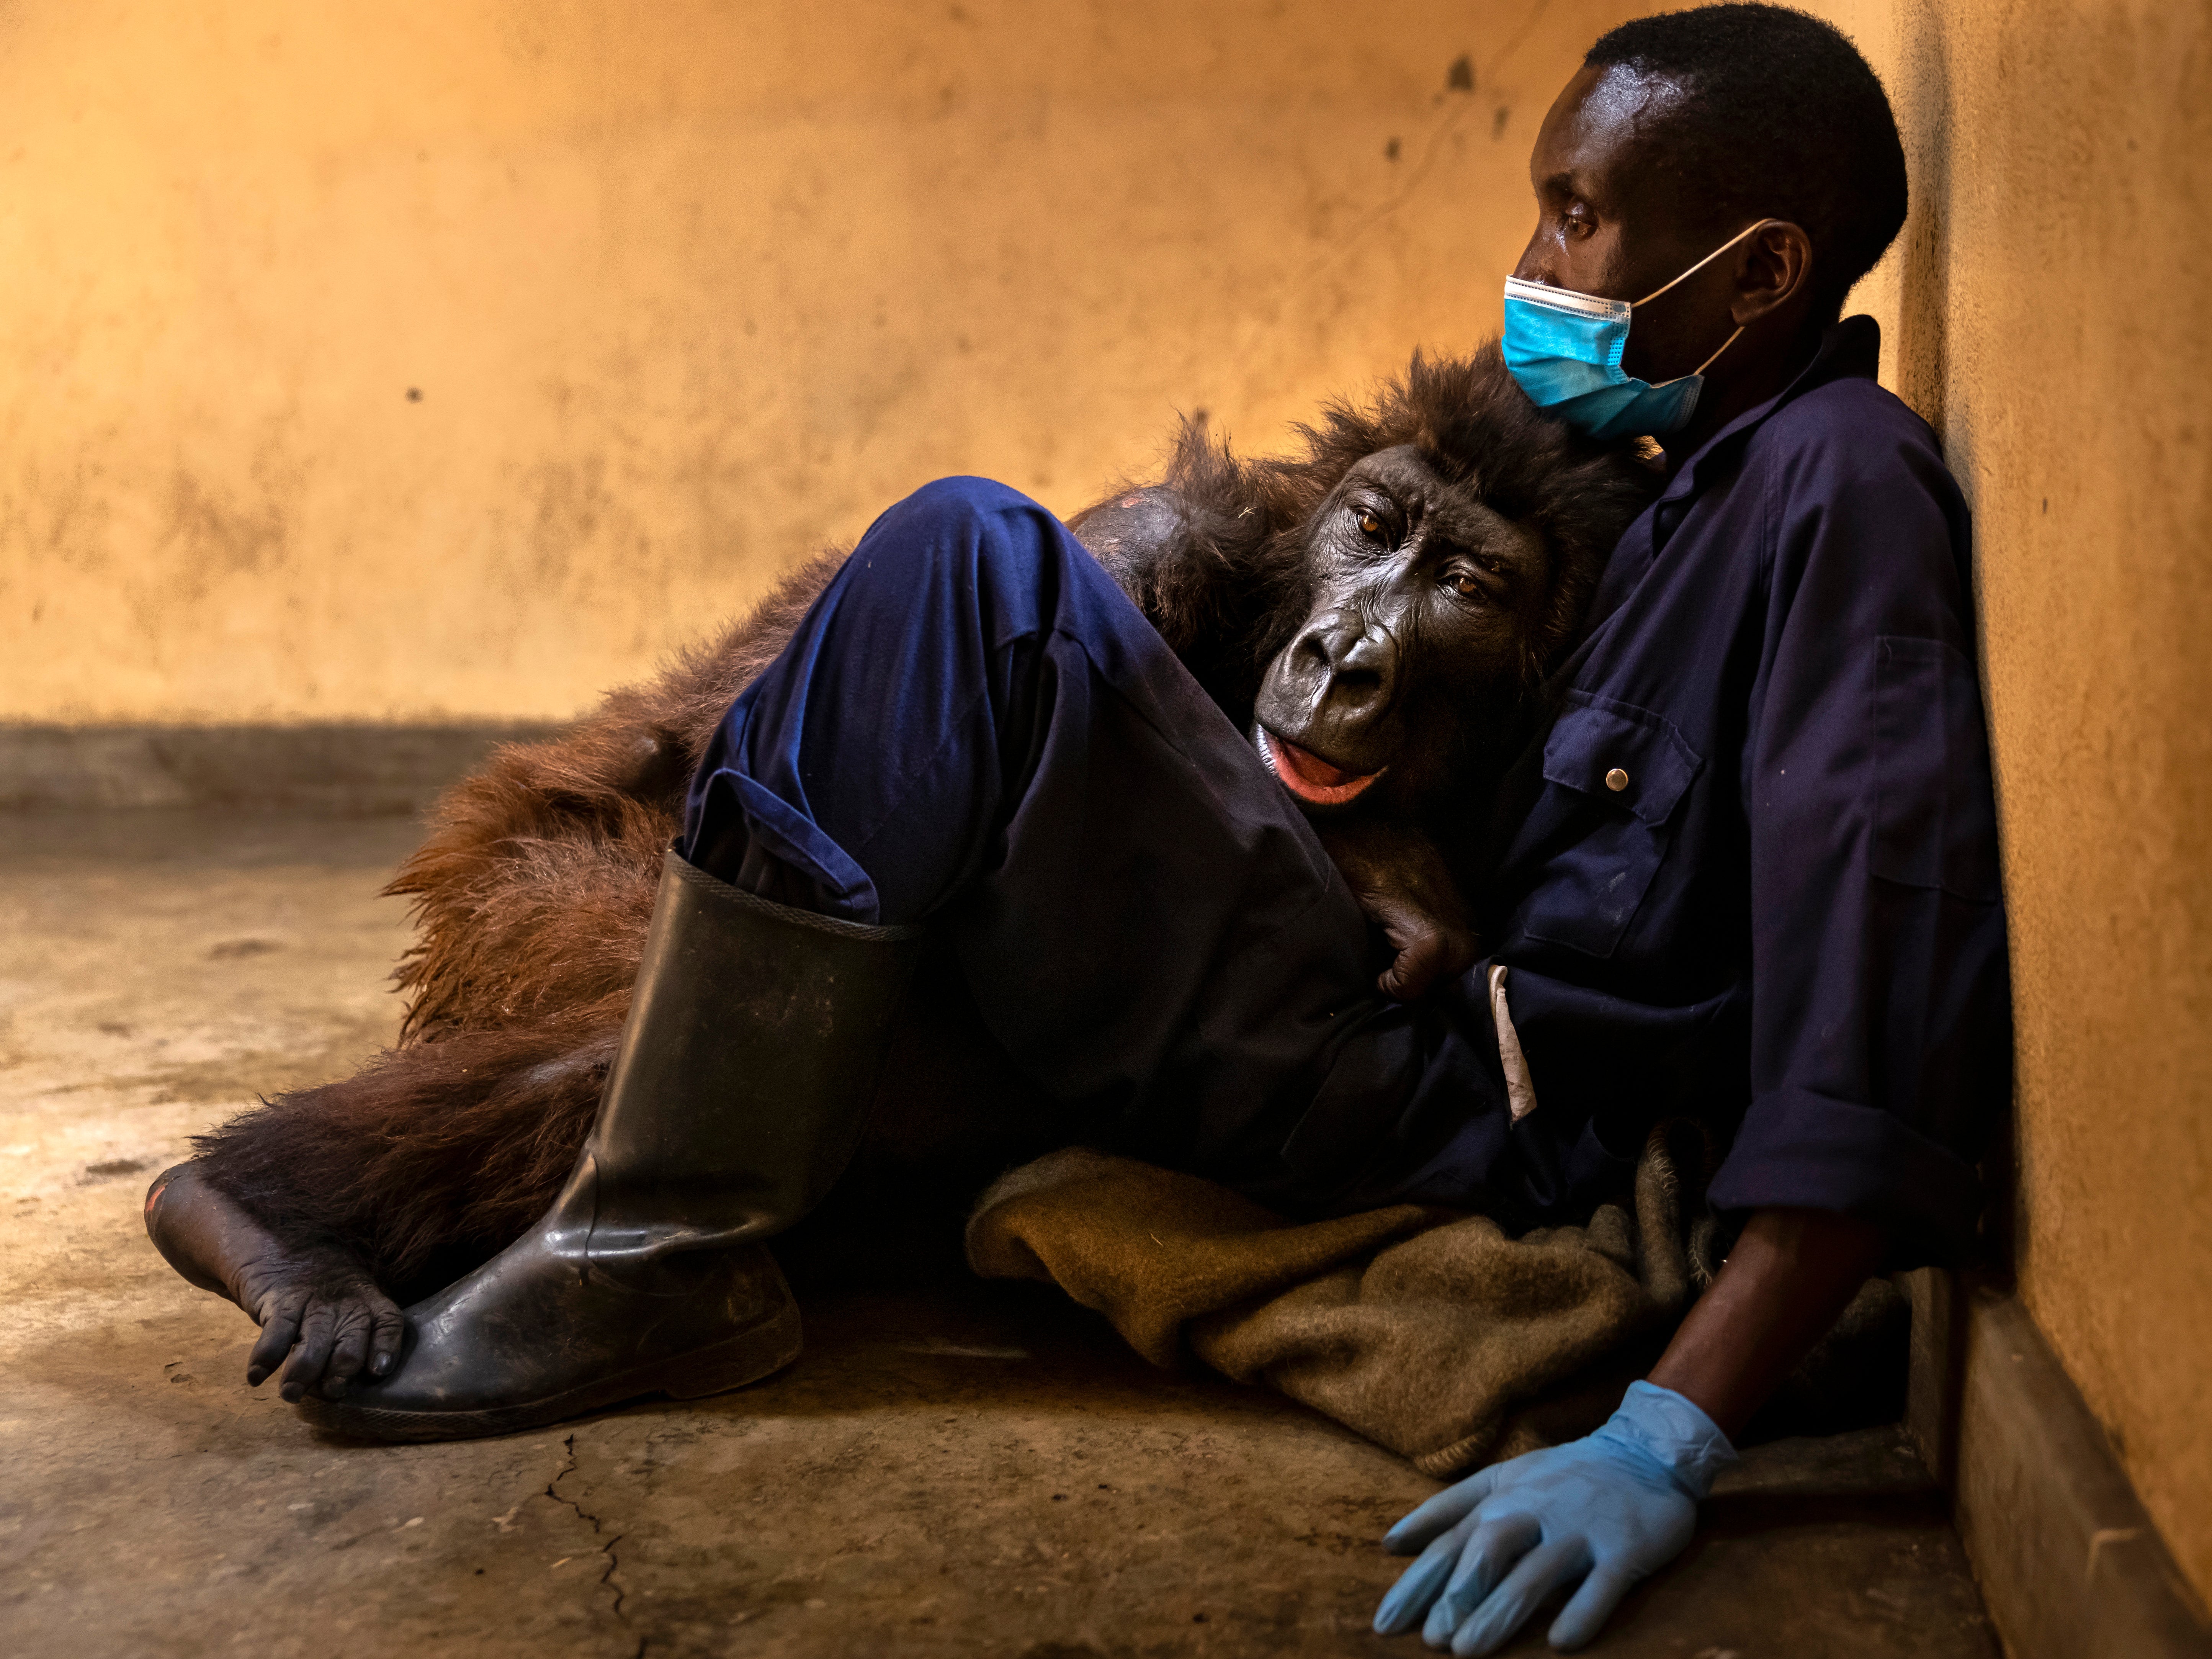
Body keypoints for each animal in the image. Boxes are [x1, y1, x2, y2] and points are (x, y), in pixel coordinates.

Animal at [147, 345, 1663, 1407]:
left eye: (1463, 584)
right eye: (1375, 525)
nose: (1345, 655)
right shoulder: (1150, 538)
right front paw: (1382, 865)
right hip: (518, 894)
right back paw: (261, 1216)